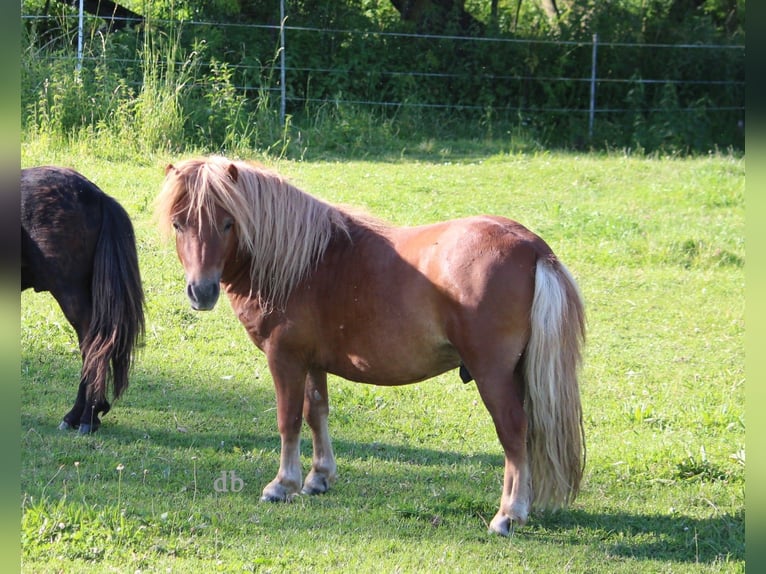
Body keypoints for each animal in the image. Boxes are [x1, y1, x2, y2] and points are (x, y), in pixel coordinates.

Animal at [158, 156, 588, 536]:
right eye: (179, 224)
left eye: (228, 223)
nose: (201, 292)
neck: (303, 262)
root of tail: (534, 249)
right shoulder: (313, 362)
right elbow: (316, 412)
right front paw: (319, 478)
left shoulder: (285, 358)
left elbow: (289, 419)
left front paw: (282, 485)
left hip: (492, 374)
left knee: (514, 432)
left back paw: (508, 515)